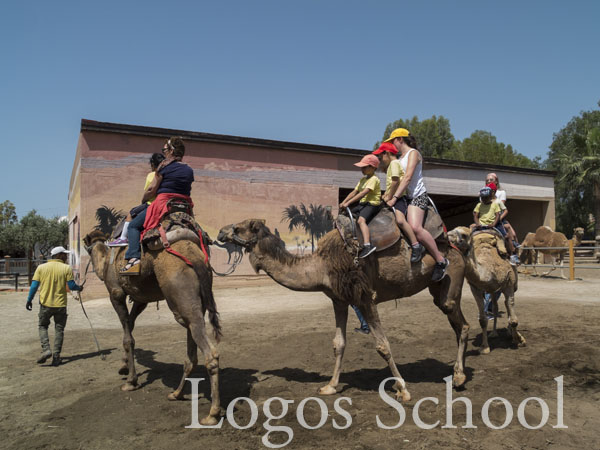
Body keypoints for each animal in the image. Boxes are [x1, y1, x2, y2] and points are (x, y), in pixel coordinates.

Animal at [82, 230, 223, 424]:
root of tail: (196, 258)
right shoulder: (140, 299)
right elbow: (131, 325)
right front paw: (123, 366)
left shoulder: (116, 293)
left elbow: (128, 338)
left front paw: (130, 382)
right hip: (194, 299)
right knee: (192, 346)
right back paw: (176, 394)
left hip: (179, 293)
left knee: (209, 352)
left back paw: (212, 414)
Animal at [218, 218, 472, 400]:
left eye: (239, 228)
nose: (220, 232)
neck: (321, 267)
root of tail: (455, 249)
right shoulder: (339, 300)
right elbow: (338, 343)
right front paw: (330, 387)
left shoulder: (365, 298)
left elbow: (383, 345)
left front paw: (402, 389)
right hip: (437, 289)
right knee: (458, 325)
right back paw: (457, 375)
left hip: (451, 283)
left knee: (463, 324)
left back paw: (459, 377)